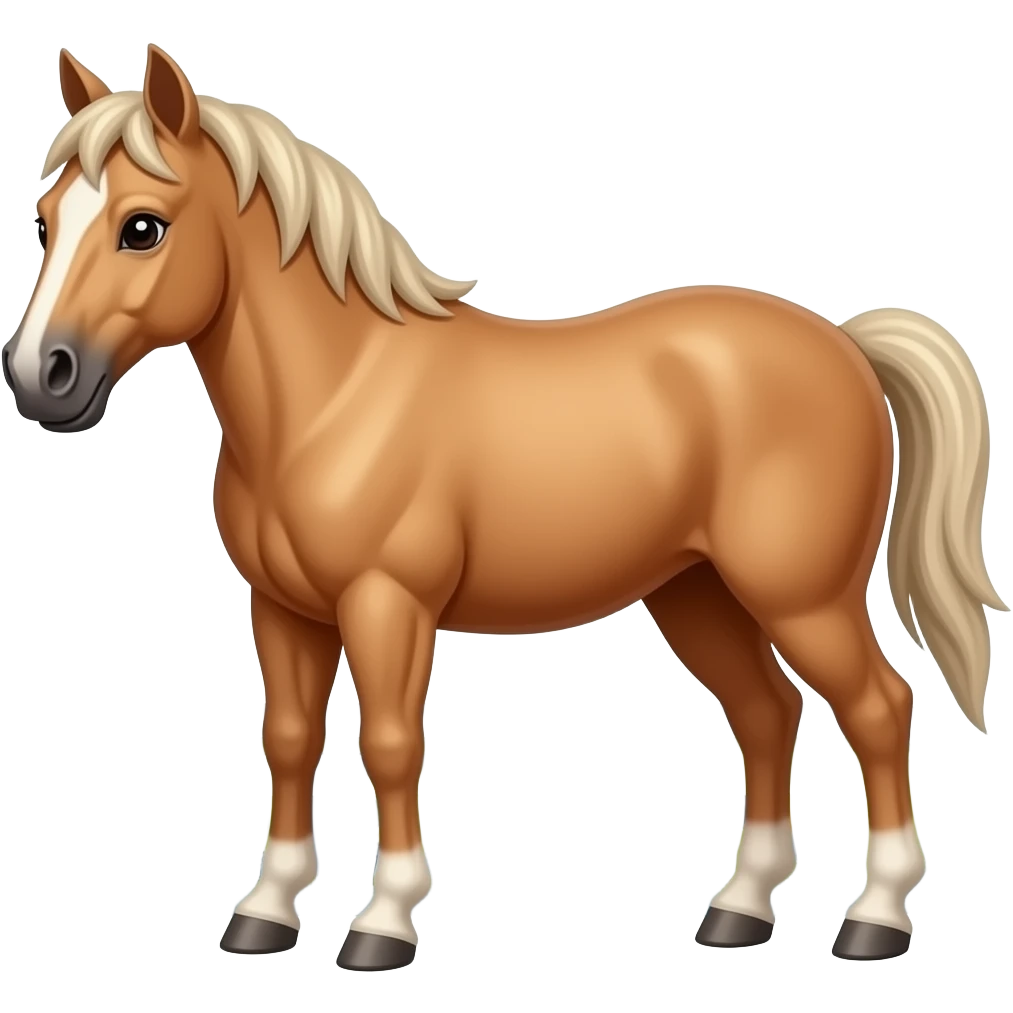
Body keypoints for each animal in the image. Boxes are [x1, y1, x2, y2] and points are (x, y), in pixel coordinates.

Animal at [4, 44, 1004, 970]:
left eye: (142, 227)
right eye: (47, 221)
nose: (40, 376)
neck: (338, 395)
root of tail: (843, 342)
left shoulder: (388, 604)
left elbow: (391, 744)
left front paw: (383, 922)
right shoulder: (283, 609)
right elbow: (286, 740)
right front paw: (265, 912)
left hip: (800, 596)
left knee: (876, 707)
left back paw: (875, 917)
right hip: (697, 593)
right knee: (765, 713)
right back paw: (739, 909)